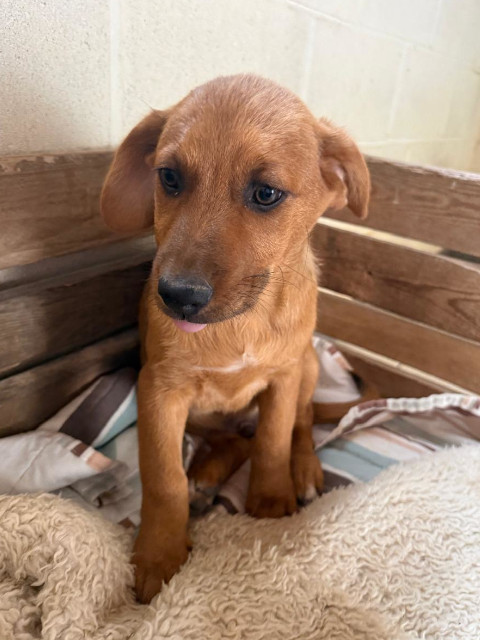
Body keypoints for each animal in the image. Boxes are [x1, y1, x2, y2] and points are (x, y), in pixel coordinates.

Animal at [101, 74, 370, 603]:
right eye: (169, 177)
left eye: (266, 193)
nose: (177, 295)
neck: (242, 323)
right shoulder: (159, 391)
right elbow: (163, 476)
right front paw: (159, 553)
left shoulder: (284, 377)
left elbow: (273, 439)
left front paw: (270, 502)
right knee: (230, 441)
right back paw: (204, 476)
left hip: (308, 366)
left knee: (300, 424)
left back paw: (302, 471)